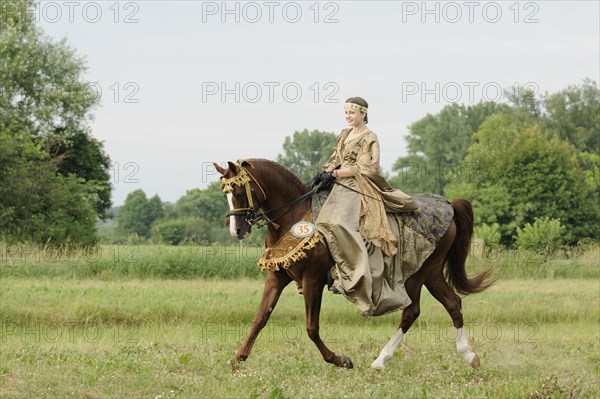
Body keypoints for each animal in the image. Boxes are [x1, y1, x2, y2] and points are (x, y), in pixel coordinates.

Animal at [213, 158, 494, 370]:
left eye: (240, 192)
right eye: (225, 194)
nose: (237, 231)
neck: (293, 217)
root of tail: (449, 207)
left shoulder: (312, 280)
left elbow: (311, 327)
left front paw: (339, 360)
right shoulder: (277, 278)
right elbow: (259, 319)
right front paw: (237, 358)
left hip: (415, 274)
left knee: (411, 312)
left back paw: (381, 360)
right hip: (431, 273)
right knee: (452, 303)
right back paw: (469, 356)